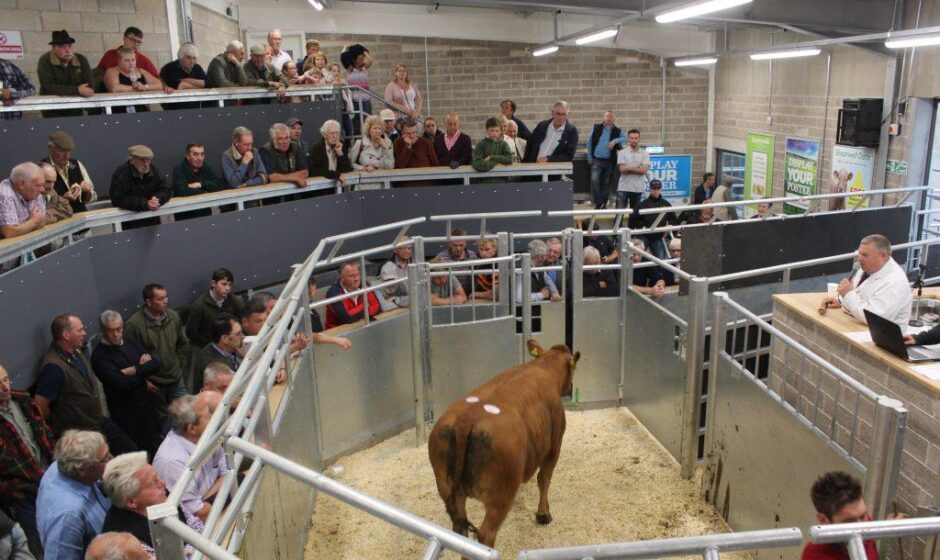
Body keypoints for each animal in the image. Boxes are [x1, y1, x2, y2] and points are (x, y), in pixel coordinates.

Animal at [428, 342, 580, 552]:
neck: (543, 366)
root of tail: (466, 420)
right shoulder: (554, 444)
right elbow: (544, 479)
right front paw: (543, 514)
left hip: (447, 485)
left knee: (460, 532)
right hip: (500, 495)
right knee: (486, 534)